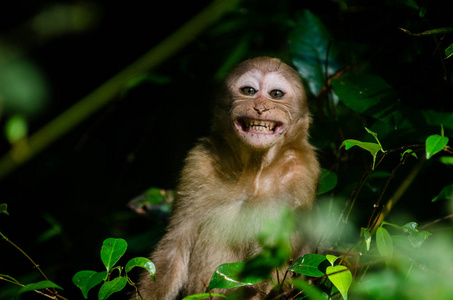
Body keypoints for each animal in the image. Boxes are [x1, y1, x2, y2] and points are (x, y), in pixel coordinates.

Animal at [136, 56, 320, 300]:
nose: (261, 107)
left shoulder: (300, 172)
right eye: (249, 91)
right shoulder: (199, 162)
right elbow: (176, 244)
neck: (254, 170)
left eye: (276, 94)